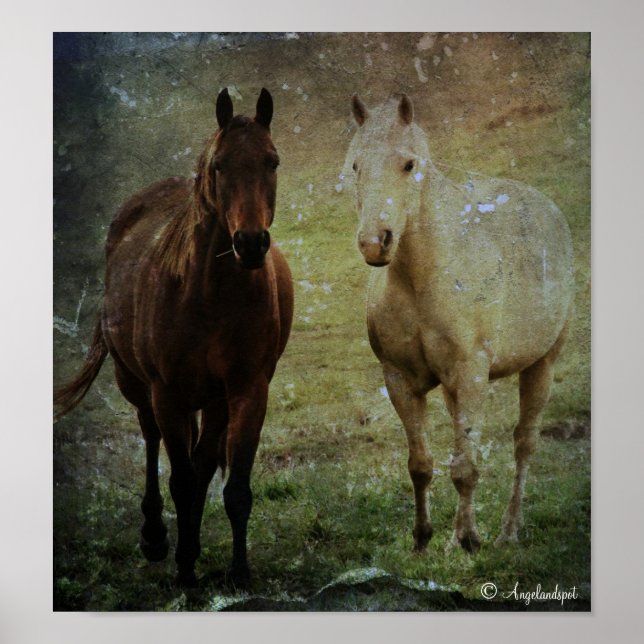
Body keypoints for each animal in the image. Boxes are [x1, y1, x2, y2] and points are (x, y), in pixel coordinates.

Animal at [54, 88, 294, 588]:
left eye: (273, 161)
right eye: (219, 165)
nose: (250, 243)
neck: (209, 294)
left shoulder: (246, 391)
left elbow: (232, 486)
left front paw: (236, 572)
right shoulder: (166, 393)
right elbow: (180, 479)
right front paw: (183, 566)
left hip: (213, 401)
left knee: (202, 462)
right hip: (138, 386)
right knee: (150, 440)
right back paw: (155, 536)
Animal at [345, 93, 574, 553]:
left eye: (409, 164)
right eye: (357, 165)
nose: (375, 242)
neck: (423, 275)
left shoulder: (471, 374)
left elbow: (465, 467)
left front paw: (469, 539)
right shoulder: (399, 379)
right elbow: (421, 464)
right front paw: (423, 538)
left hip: (541, 365)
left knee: (525, 443)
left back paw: (508, 530)